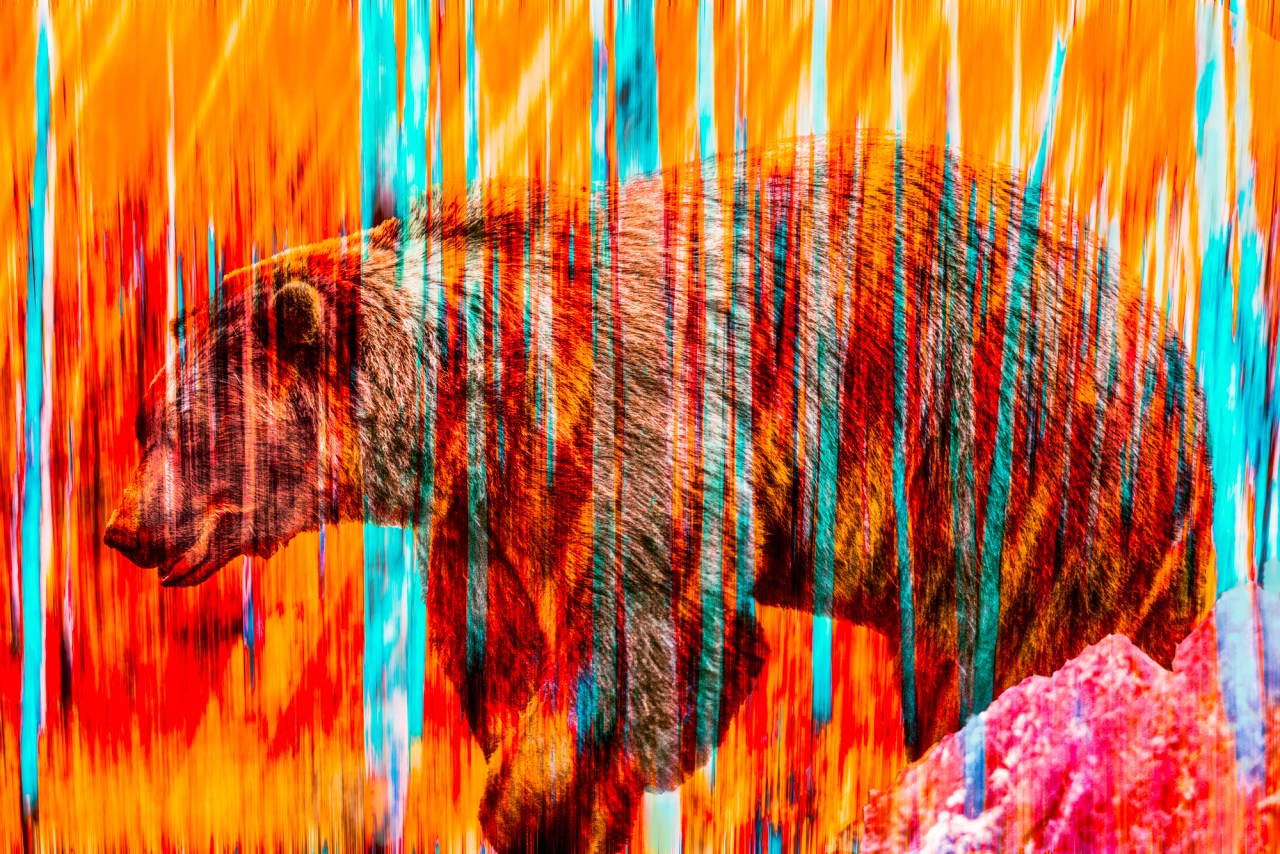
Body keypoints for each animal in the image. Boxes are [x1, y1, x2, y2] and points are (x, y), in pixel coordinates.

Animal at [104, 133, 1214, 852]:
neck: (482, 398)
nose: (123, 527)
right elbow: (504, 651)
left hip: (1019, 465)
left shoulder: (646, 426)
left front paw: (532, 801)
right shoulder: (488, 520)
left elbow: (651, 633)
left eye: (195, 432)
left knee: (1008, 652)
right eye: (148, 419)